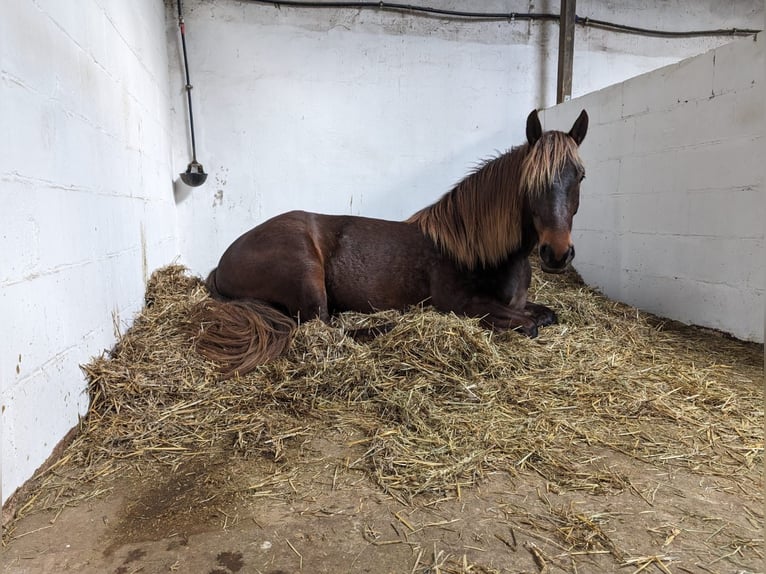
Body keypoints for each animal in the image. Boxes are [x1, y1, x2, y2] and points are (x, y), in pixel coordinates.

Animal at [192, 109, 588, 378]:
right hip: (305, 270)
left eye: (581, 176)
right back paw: (387, 327)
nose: (556, 254)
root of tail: (223, 261)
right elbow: (528, 324)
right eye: (531, 182)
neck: (480, 254)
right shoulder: (462, 304)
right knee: (322, 327)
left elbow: (546, 314)